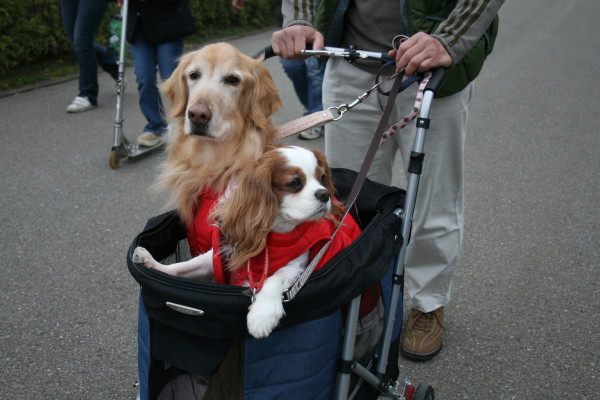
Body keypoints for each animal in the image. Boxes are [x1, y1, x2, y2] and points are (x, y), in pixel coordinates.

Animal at [135, 147, 360, 338]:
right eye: (295, 182)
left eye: (322, 178)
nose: (324, 194)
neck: (273, 232)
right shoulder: (220, 256)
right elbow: (183, 267)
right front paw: (153, 265)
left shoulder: (298, 267)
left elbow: (274, 279)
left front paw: (262, 315)